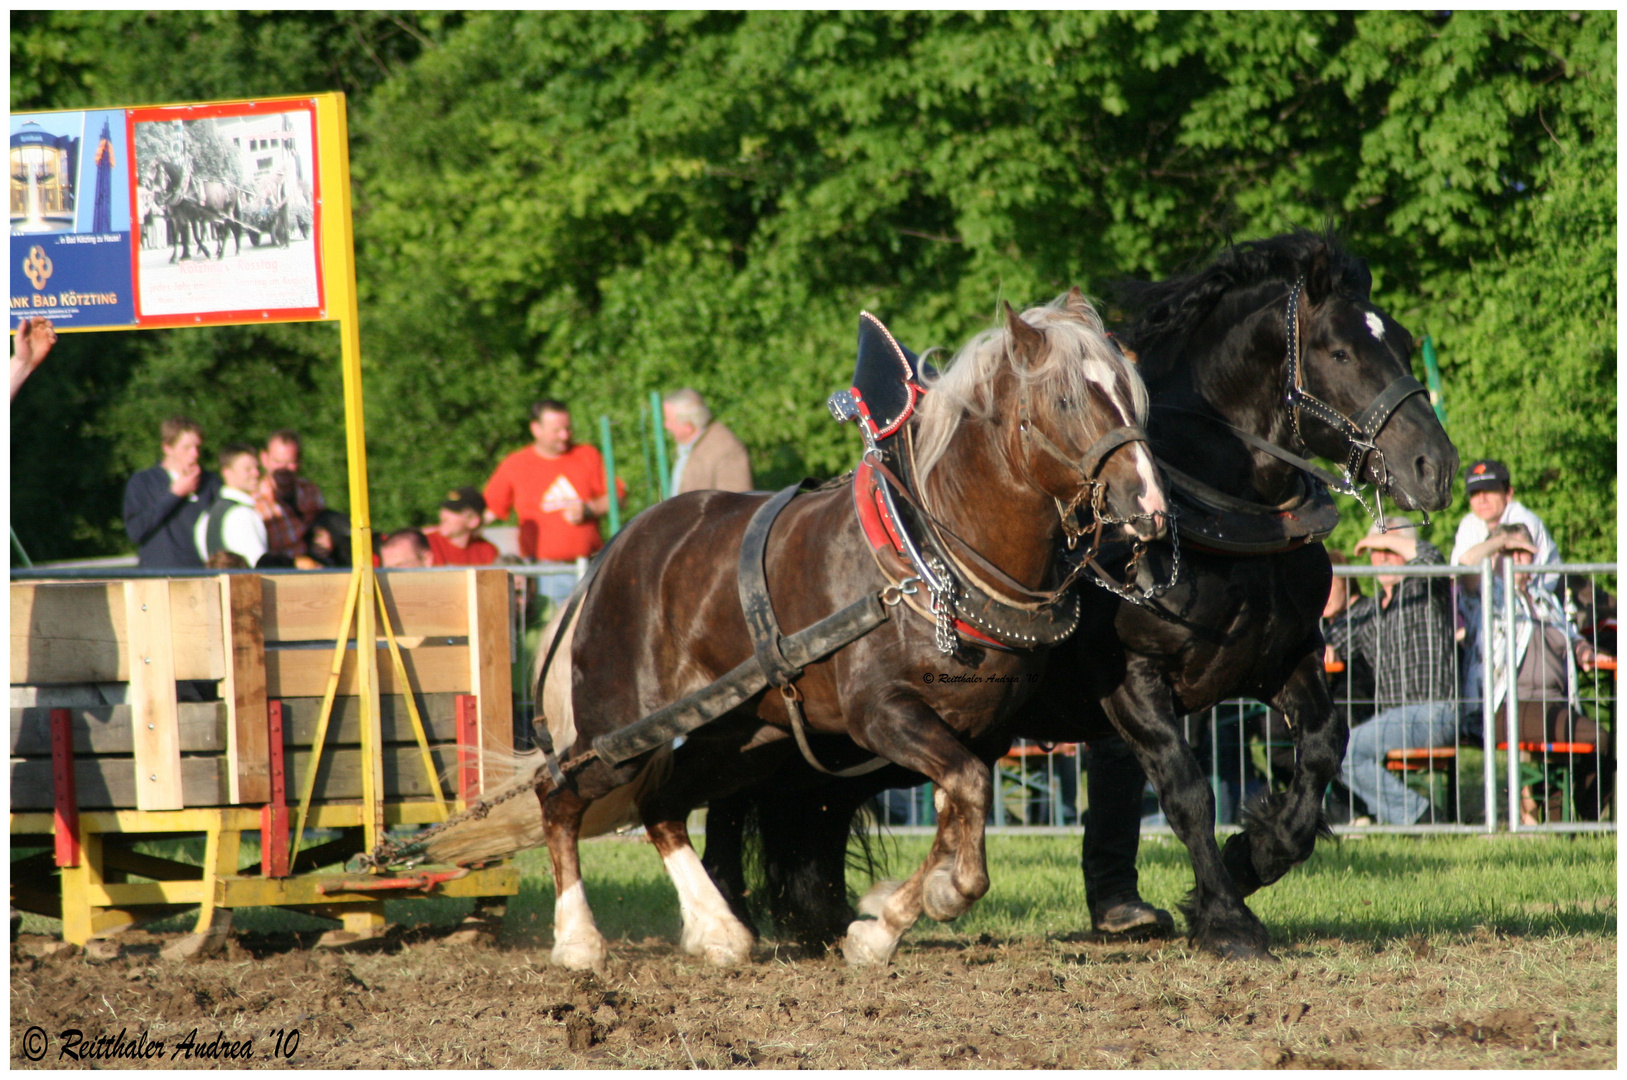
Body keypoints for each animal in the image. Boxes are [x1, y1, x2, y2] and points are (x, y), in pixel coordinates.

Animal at [413, 292, 1164, 969]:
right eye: (1065, 401)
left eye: (1131, 398)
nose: (1149, 505)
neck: (933, 554)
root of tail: (612, 556)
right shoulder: (882, 716)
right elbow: (969, 801)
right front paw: (923, 905)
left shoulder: (981, 732)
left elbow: (961, 806)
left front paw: (882, 923)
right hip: (619, 731)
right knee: (559, 795)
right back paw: (578, 942)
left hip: (743, 738)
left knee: (659, 806)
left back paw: (718, 932)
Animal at [699, 232, 1464, 956]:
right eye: (1339, 351)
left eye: (1401, 341)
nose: (1434, 466)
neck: (1220, 517)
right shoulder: (1132, 683)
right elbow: (1187, 789)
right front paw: (1224, 915)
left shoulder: (1284, 657)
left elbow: (1322, 750)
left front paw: (1257, 852)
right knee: (735, 800)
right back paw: (731, 918)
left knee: (806, 806)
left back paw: (822, 916)